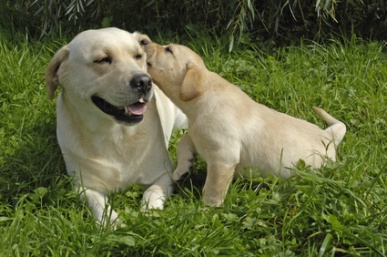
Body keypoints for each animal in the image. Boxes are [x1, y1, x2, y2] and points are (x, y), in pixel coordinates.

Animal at [45, 28, 188, 224]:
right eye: (103, 60)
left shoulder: (164, 174)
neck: (116, 134)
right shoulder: (84, 186)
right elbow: (100, 205)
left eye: (138, 56)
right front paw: (112, 224)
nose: (144, 81)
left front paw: (148, 214)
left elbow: (152, 192)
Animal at [145, 42, 346, 206]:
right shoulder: (199, 134)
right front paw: (182, 170)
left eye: (169, 50)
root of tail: (329, 135)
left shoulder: (223, 156)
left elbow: (214, 185)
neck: (202, 99)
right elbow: (184, 141)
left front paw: (208, 209)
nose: (144, 41)